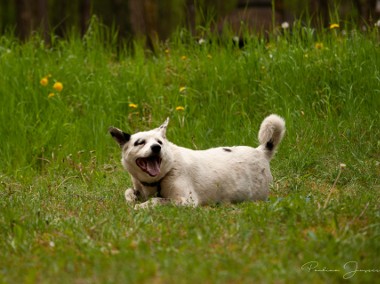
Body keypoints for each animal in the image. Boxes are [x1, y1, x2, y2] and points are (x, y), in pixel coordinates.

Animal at [108, 113, 284, 209]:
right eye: (140, 142)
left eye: (159, 142)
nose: (156, 148)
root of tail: (261, 151)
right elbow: (128, 192)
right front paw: (132, 200)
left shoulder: (186, 200)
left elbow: (157, 201)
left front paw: (142, 206)